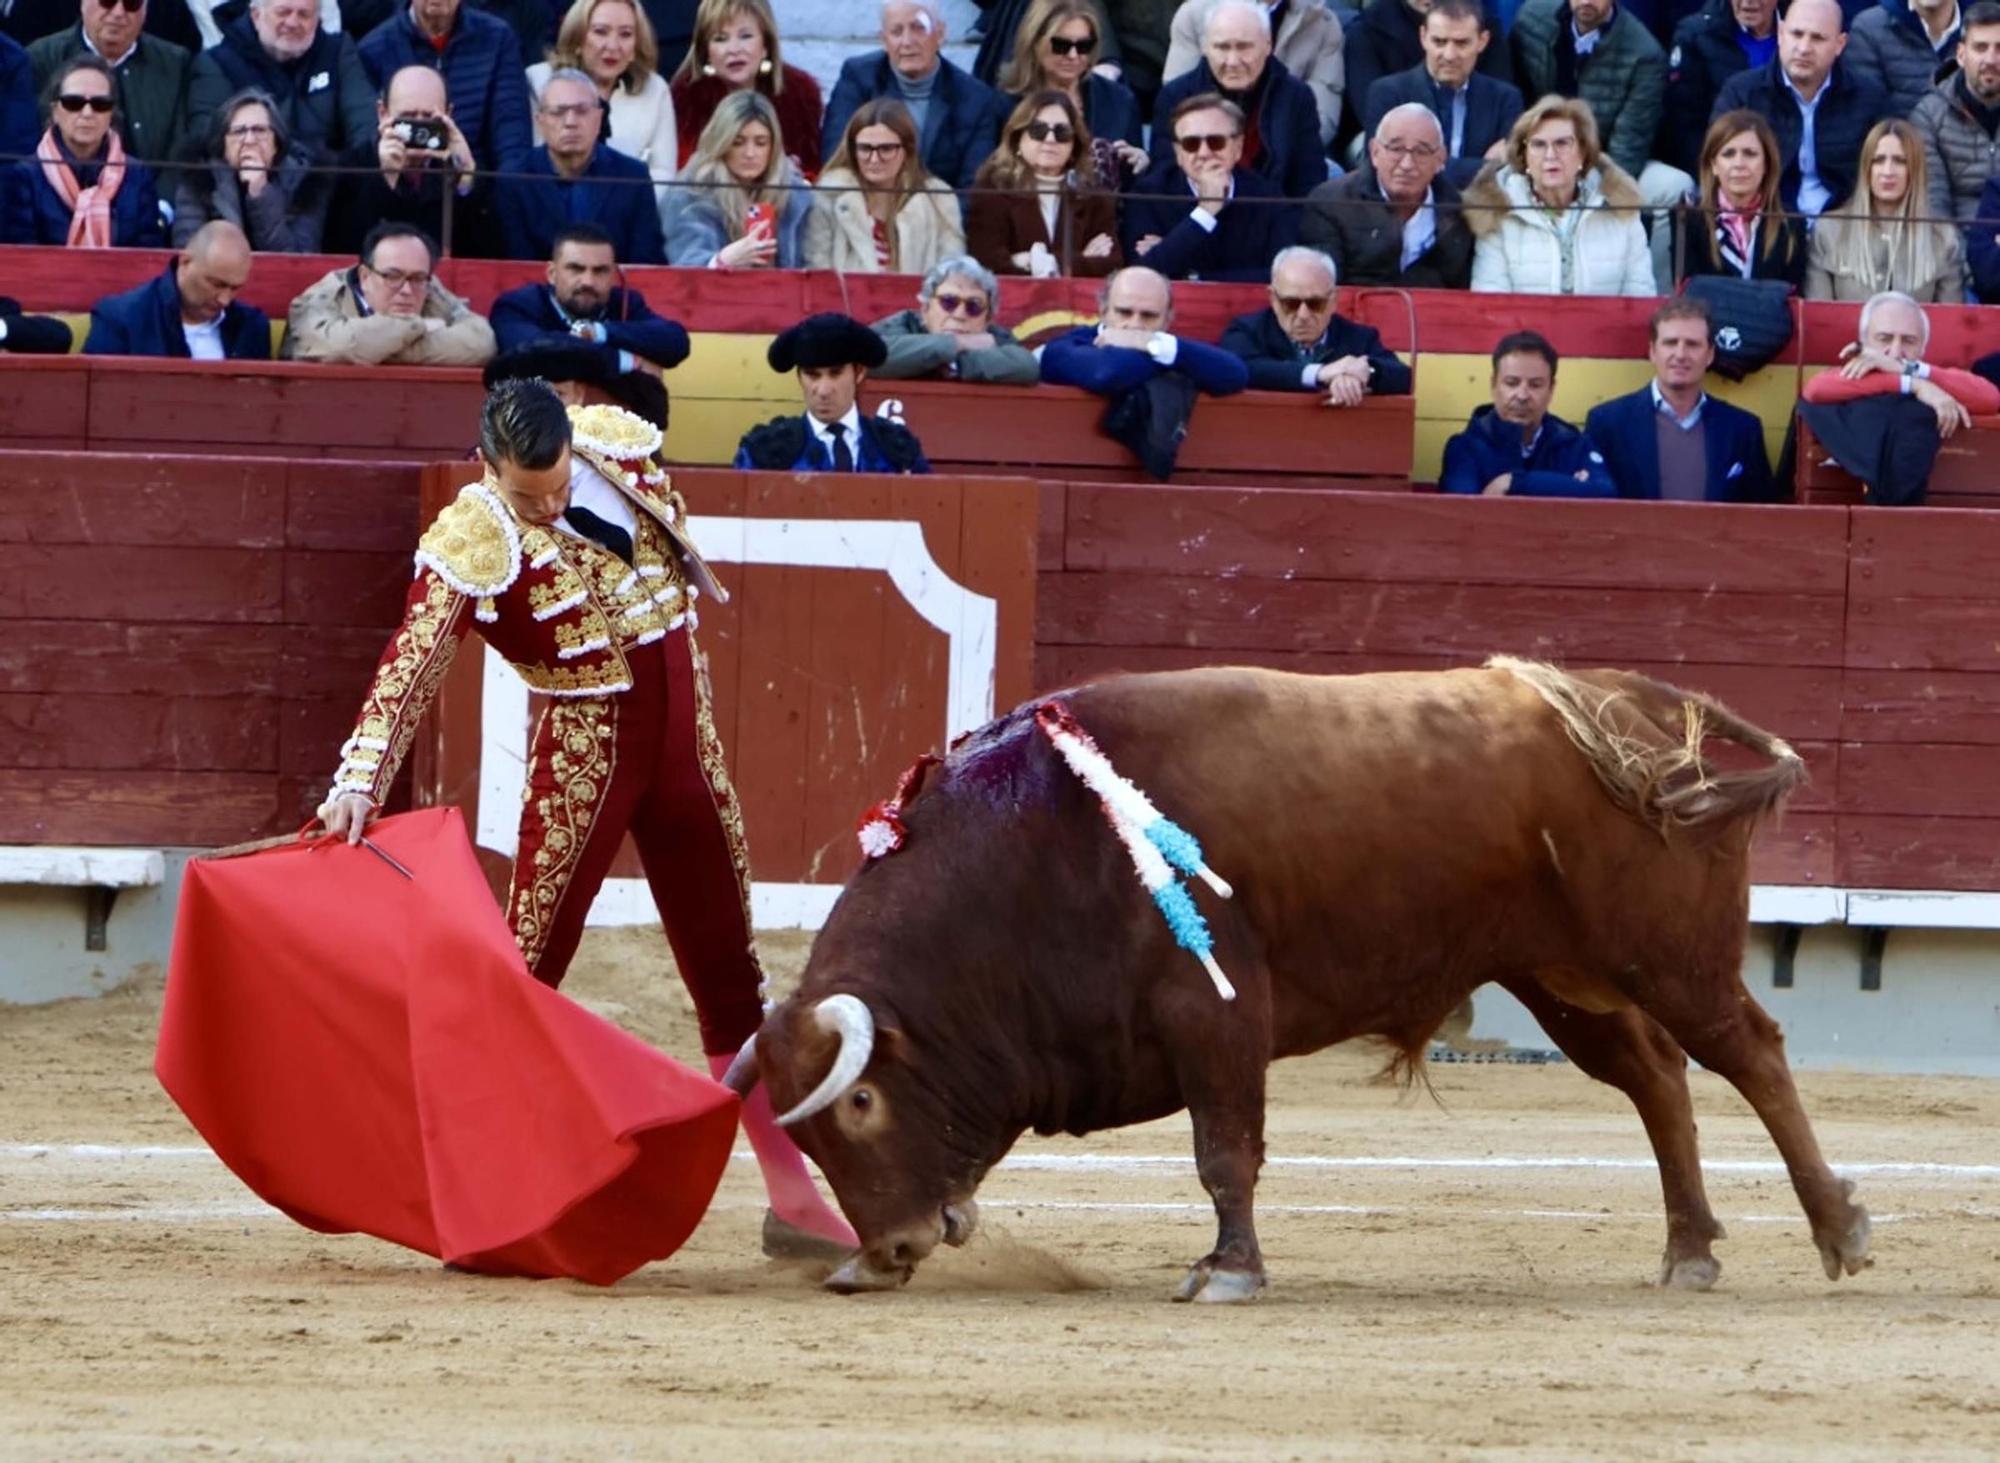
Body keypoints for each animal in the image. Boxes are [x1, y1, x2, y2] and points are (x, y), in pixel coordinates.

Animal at [724, 663, 1872, 1303]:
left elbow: (1223, 1149)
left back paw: (1837, 1230)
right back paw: (1689, 1250)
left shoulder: (1217, 1010)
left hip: (1670, 954)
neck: (1041, 844)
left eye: (860, 1105)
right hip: (1562, 974)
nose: (887, 1250)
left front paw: (1226, 1271)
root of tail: (1638, 705)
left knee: (1750, 1053)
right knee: (1656, 1076)